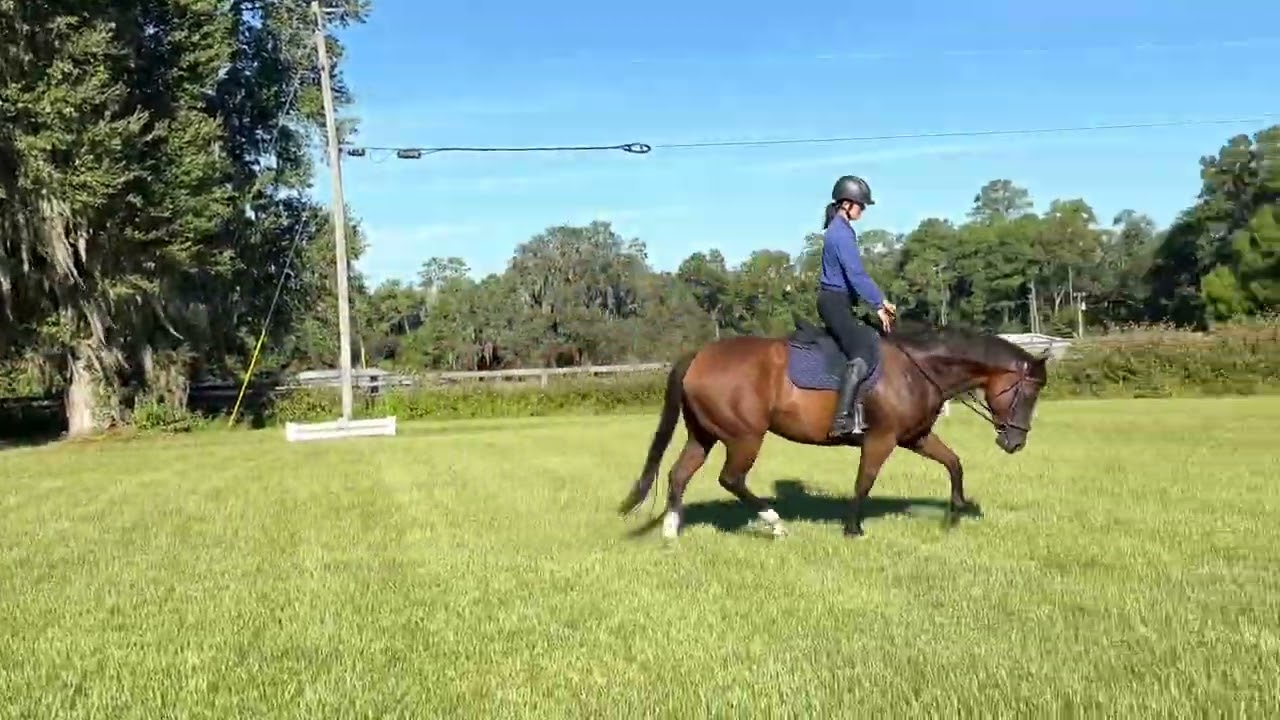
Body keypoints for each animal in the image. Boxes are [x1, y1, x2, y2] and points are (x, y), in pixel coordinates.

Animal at [617, 317, 1049, 539]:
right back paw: (775, 524)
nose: (1015, 442)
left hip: (703, 435)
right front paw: (853, 528)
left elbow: (954, 462)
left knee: (679, 473)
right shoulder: (882, 439)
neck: (918, 367)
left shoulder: (915, 437)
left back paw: (671, 531)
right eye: (1028, 393)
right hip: (744, 437)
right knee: (731, 479)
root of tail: (698, 355)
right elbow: (864, 481)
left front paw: (956, 510)